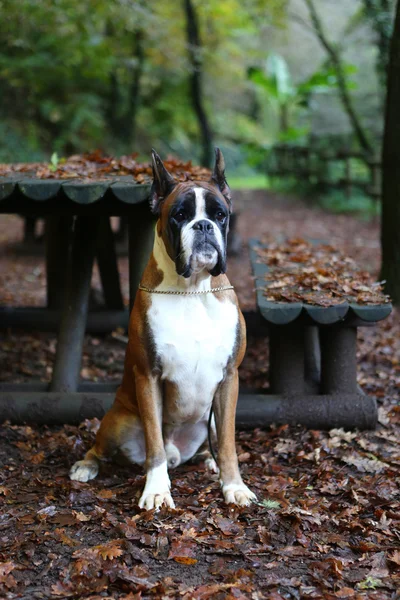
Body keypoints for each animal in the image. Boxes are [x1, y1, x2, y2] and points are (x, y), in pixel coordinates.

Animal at [70, 148, 255, 508]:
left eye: (220, 215)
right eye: (180, 215)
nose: (203, 225)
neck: (192, 290)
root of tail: (178, 453)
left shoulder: (229, 378)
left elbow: (228, 444)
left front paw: (233, 486)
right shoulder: (148, 376)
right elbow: (154, 442)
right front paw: (156, 490)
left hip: (210, 418)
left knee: (209, 444)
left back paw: (207, 461)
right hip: (118, 421)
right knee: (101, 448)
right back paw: (86, 465)